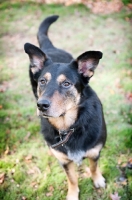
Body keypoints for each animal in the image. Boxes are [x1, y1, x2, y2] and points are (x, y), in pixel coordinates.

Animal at [24, 15, 106, 200]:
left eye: (66, 84)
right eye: (42, 81)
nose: (41, 105)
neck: (70, 126)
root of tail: (49, 47)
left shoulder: (95, 151)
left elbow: (93, 167)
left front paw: (97, 180)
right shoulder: (64, 161)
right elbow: (72, 179)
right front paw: (73, 194)